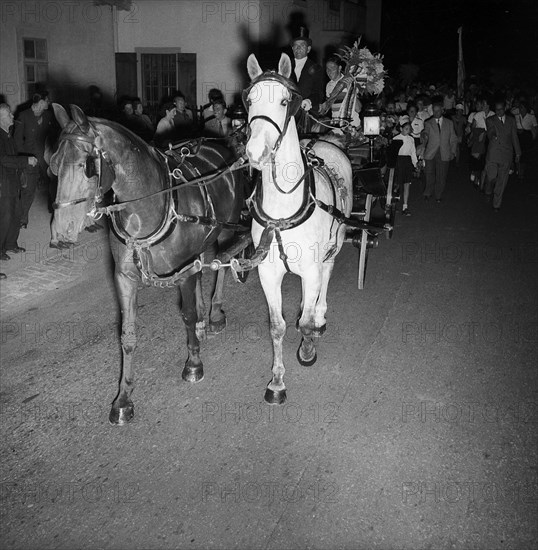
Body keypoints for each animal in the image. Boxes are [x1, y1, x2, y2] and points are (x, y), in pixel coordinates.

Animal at [48, 104, 245, 426]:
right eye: (52, 165)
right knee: (204, 266)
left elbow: (186, 315)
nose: (60, 235)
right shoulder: (124, 277)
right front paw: (123, 398)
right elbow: (127, 335)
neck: (147, 209)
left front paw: (193, 363)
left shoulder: (182, 271)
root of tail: (217, 143)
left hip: (227, 228)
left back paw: (214, 313)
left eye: (87, 166)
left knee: (223, 264)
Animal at [243, 52, 352, 406]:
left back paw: (319, 315)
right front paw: (277, 382)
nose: (256, 153)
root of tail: (327, 139)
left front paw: (307, 347)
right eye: (249, 100)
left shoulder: (311, 267)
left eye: (284, 100)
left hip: (333, 246)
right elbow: (277, 326)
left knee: (326, 277)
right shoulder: (267, 272)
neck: (283, 207)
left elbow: (304, 324)